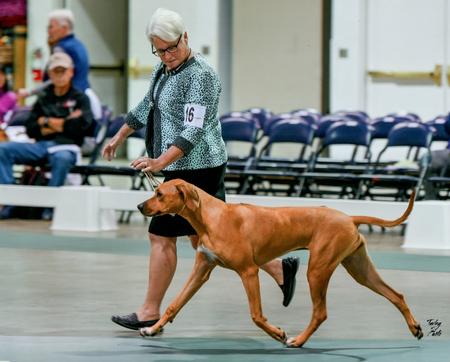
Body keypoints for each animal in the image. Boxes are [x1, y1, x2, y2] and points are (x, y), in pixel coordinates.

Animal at [136, 180, 422, 346]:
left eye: (159, 193)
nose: (139, 206)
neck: (211, 217)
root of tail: (349, 217)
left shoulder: (248, 272)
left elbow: (256, 315)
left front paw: (277, 333)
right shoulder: (202, 269)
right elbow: (174, 304)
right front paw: (151, 329)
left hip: (317, 270)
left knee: (320, 312)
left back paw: (297, 341)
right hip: (359, 269)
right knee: (396, 295)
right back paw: (415, 327)